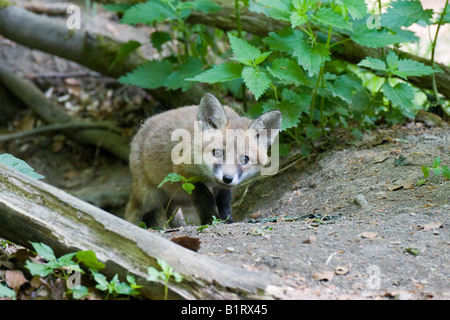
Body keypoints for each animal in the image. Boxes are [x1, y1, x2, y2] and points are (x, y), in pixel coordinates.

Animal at [125, 92, 282, 228]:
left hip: (173, 194)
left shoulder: (224, 188)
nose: (227, 178)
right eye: (217, 152)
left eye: (245, 159)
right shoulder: (185, 173)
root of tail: (144, 125)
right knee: (133, 209)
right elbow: (205, 198)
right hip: (148, 196)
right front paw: (210, 219)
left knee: (170, 210)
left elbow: (224, 202)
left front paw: (226, 220)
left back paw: (177, 226)